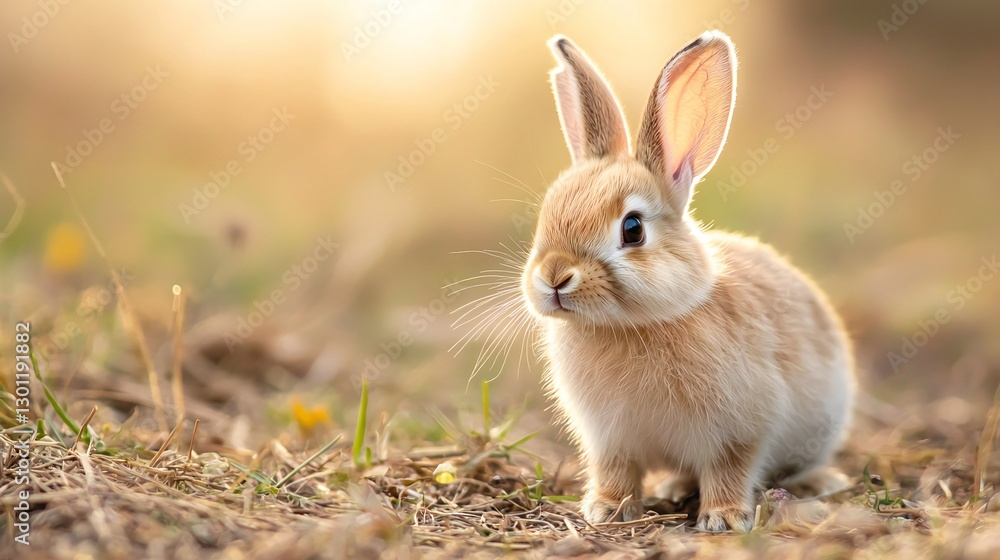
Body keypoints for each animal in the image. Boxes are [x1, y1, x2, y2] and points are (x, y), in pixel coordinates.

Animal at [520, 30, 856, 533]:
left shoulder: (740, 429)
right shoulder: (609, 439)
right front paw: (606, 509)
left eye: (632, 229)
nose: (554, 277)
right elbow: (617, 471)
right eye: (546, 215)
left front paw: (724, 518)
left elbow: (729, 469)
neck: (632, 325)